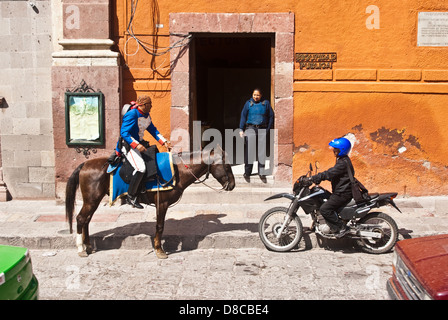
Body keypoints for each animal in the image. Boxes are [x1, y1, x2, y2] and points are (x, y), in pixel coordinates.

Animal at [65, 149, 238, 258]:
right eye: (227, 165)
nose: (232, 185)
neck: (178, 171)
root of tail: (84, 165)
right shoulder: (162, 203)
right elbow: (159, 226)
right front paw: (159, 250)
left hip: (93, 200)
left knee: (86, 220)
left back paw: (88, 246)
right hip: (92, 200)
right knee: (81, 219)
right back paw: (81, 248)